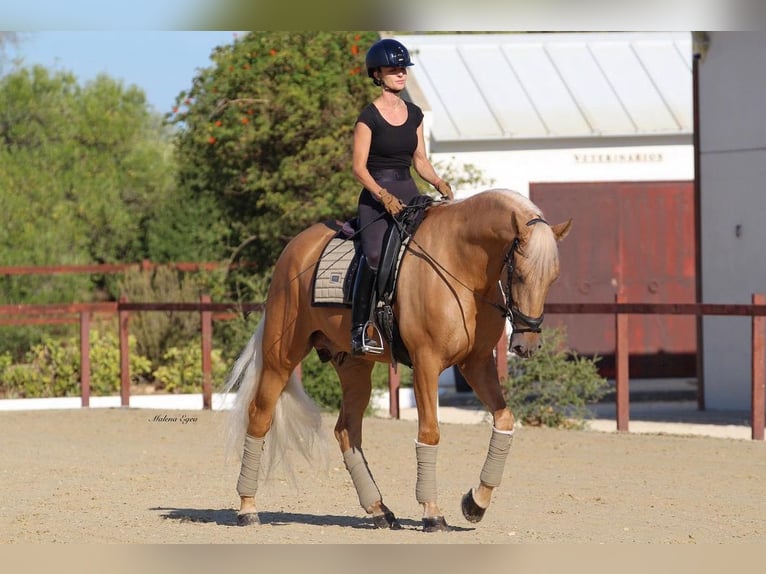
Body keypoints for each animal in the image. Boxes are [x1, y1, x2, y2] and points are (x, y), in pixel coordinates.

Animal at [222, 190, 568, 536]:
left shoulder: (477, 363)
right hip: (282, 357)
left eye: (554, 277)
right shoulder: (426, 363)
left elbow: (505, 419)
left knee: (347, 430)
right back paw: (248, 509)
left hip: (354, 366)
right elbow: (430, 433)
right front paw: (432, 514)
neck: (461, 264)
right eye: (519, 274)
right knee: (259, 417)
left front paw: (475, 503)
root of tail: (294, 249)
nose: (527, 345)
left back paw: (379, 510)